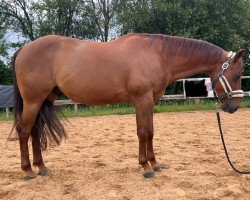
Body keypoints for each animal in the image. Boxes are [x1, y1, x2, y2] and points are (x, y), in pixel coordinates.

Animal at [11, 33, 244, 179]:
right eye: (237, 75)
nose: (233, 107)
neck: (158, 54)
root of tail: (25, 48)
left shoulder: (150, 101)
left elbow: (150, 132)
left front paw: (154, 164)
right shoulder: (141, 99)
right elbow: (142, 132)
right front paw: (146, 167)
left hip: (45, 99)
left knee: (34, 132)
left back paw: (41, 168)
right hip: (33, 100)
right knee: (24, 131)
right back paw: (28, 171)